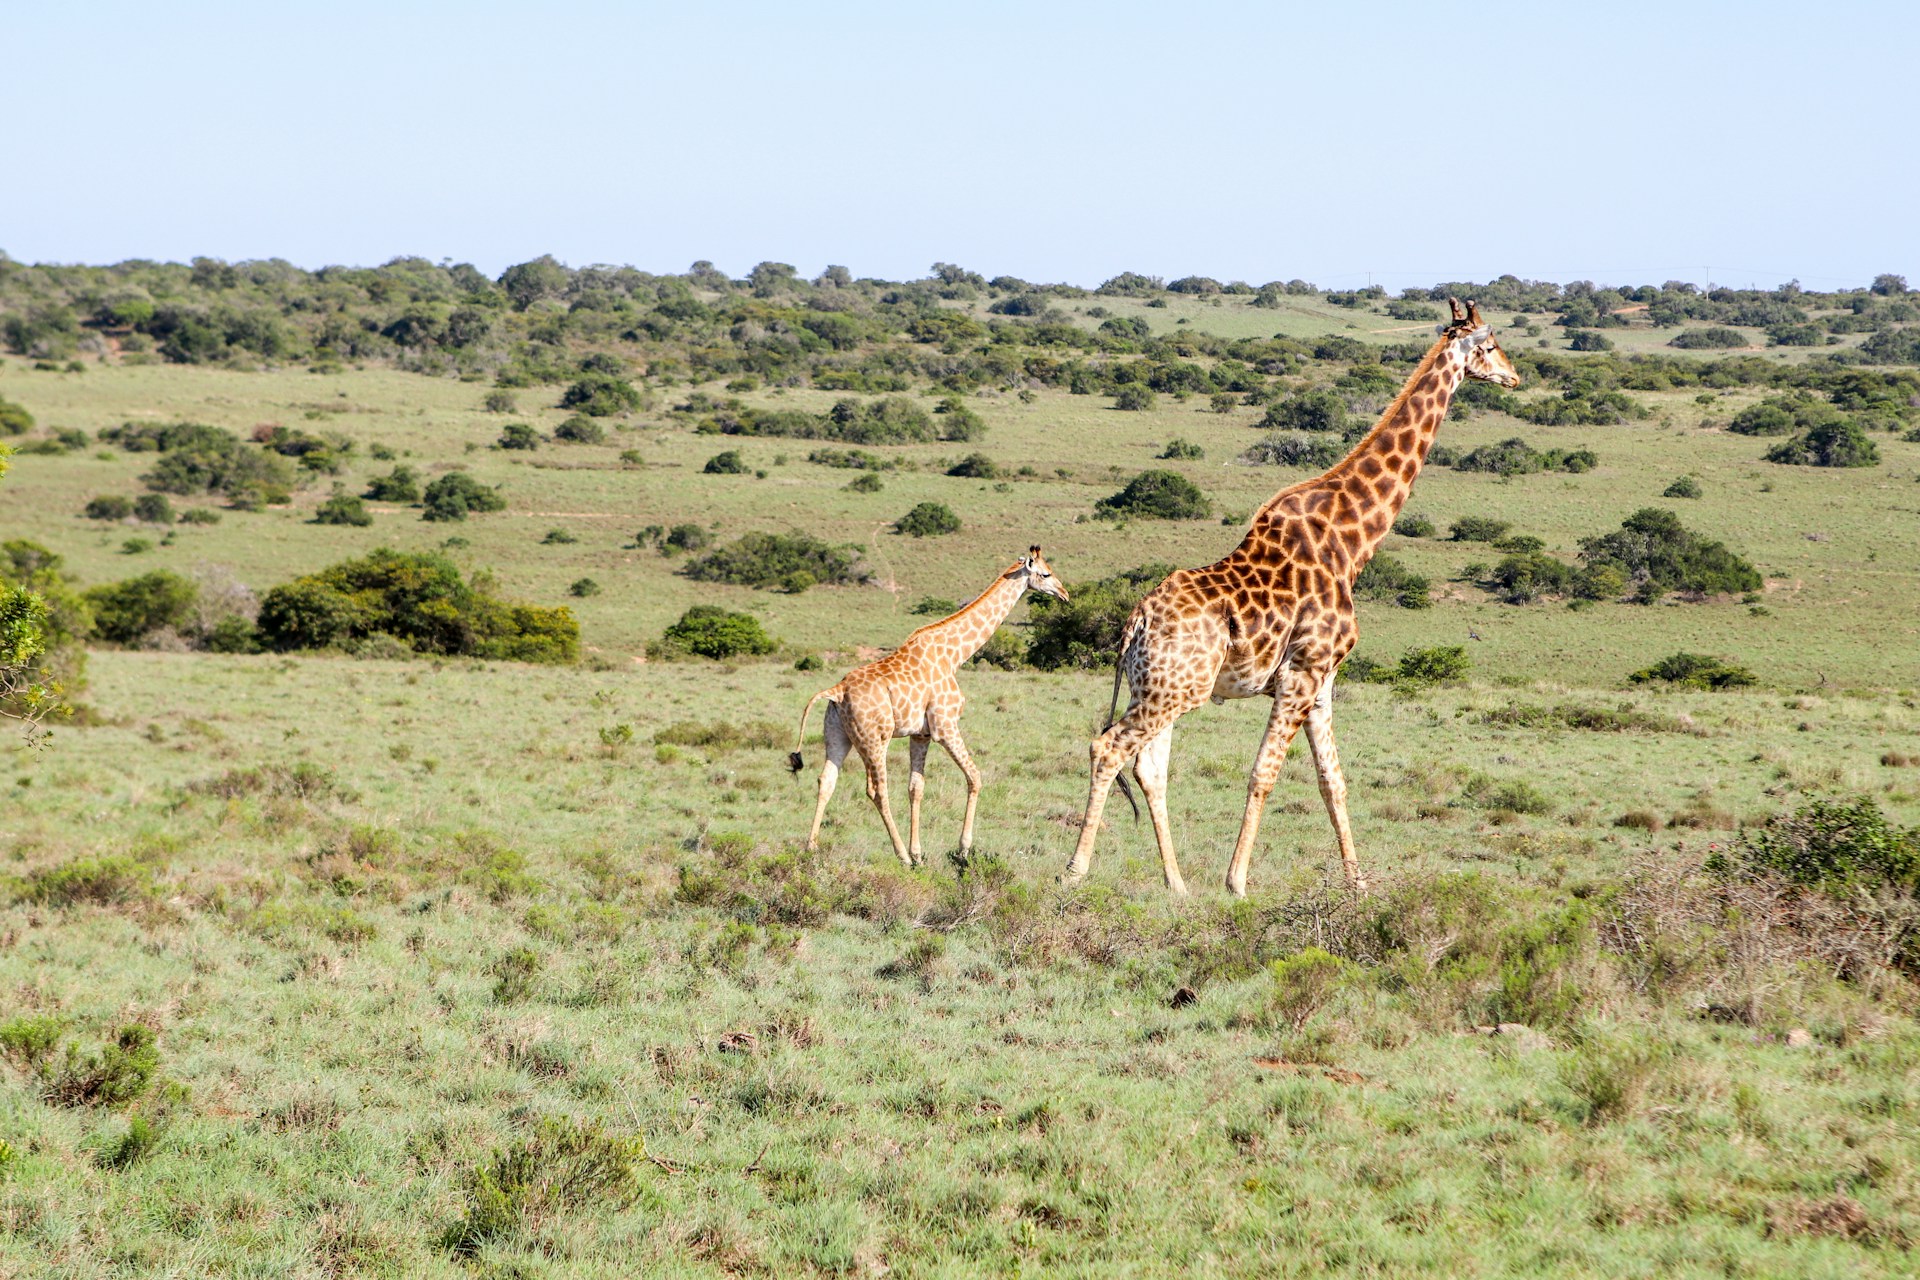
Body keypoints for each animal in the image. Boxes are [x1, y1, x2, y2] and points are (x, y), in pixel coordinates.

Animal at [791, 547, 1069, 866]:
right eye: (1046, 573)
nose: (1065, 593)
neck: (955, 655)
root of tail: (836, 691)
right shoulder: (945, 725)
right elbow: (975, 777)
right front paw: (962, 849)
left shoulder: (920, 733)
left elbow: (916, 787)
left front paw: (919, 854)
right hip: (874, 739)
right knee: (876, 790)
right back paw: (900, 855)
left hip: (838, 735)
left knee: (826, 780)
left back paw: (811, 849)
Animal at [1065, 299, 1520, 896]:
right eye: (1489, 345)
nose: (1514, 376)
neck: (1353, 542)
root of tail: (1135, 621)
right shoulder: (1301, 672)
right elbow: (1265, 773)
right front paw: (1236, 882)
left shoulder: (1322, 681)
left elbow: (1333, 780)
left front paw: (1358, 886)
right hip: (1173, 691)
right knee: (1109, 748)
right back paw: (1075, 871)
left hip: (1162, 686)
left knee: (1148, 766)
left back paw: (1177, 885)